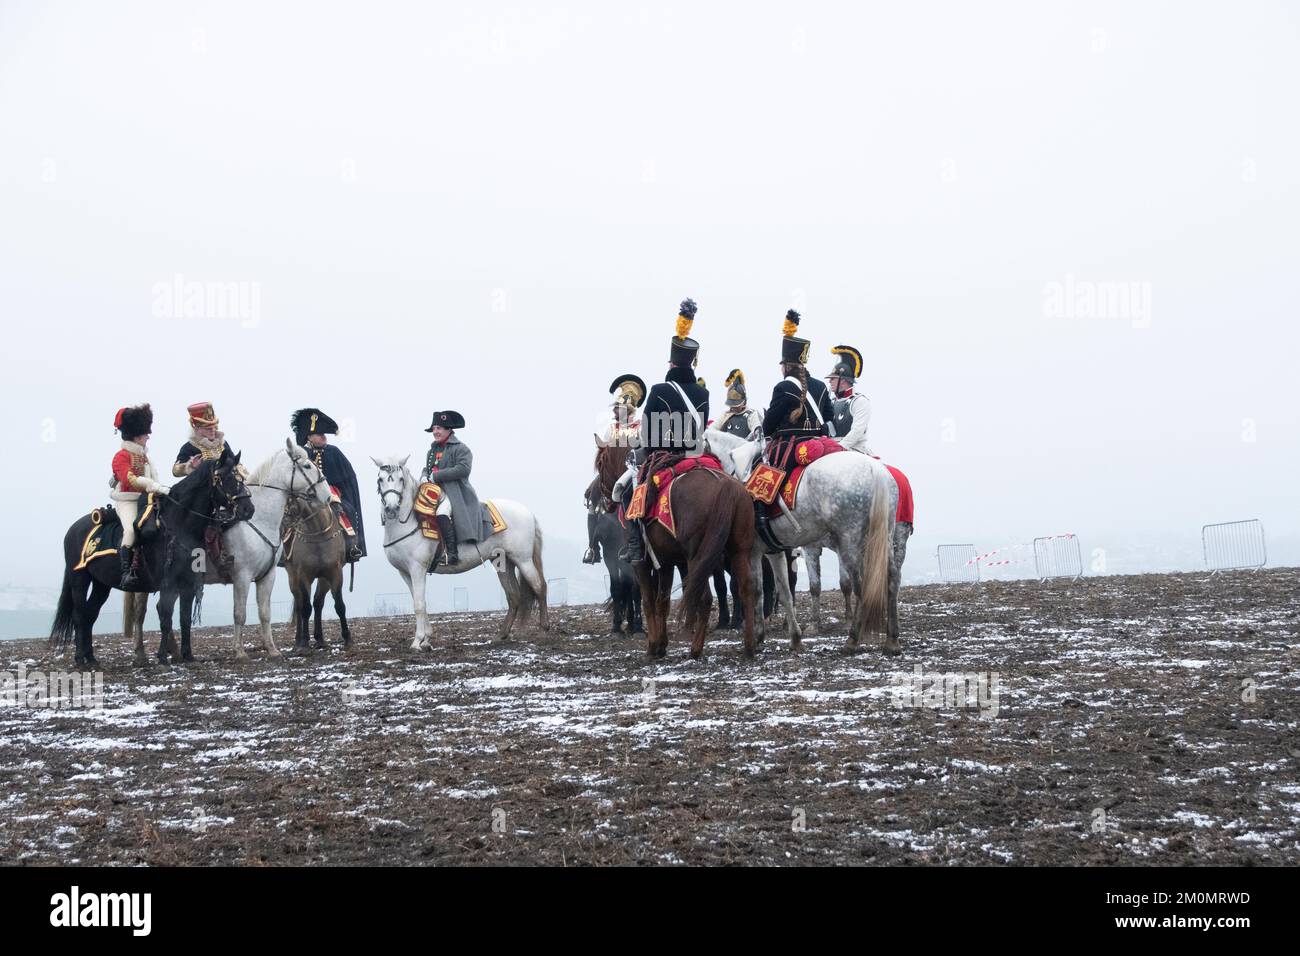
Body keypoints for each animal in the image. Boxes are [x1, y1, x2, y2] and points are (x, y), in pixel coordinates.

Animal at [49, 455, 246, 671]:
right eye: (226, 477)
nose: (248, 508)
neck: (179, 524)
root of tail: (73, 529)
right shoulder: (168, 584)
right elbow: (166, 616)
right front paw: (162, 657)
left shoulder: (187, 583)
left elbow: (184, 618)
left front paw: (188, 656)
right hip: (79, 578)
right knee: (79, 616)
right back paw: (80, 659)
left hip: (101, 584)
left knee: (90, 615)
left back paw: (91, 658)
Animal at [280, 496, 351, 655]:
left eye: (291, 504)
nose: (283, 527)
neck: (318, 535)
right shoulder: (303, 575)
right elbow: (305, 608)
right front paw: (304, 644)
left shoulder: (334, 574)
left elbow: (339, 605)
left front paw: (348, 638)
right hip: (292, 577)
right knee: (299, 604)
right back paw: (298, 641)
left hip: (323, 580)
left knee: (318, 602)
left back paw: (320, 640)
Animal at [371, 455, 548, 650]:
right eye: (380, 479)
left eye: (401, 479)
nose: (391, 509)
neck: (410, 522)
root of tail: (528, 512)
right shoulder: (404, 572)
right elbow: (420, 601)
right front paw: (426, 639)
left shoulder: (417, 569)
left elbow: (418, 604)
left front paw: (418, 641)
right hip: (504, 563)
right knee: (513, 596)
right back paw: (501, 635)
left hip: (523, 560)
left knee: (539, 587)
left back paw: (543, 629)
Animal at [707, 429, 909, 655]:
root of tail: (876, 470)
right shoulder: (774, 551)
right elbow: (785, 591)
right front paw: (794, 638)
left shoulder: (753, 551)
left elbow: (756, 590)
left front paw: (757, 636)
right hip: (882, 540)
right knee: (892, 580)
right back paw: (892, 640)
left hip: (851, 543)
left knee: (862, 585)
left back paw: (853, 640)